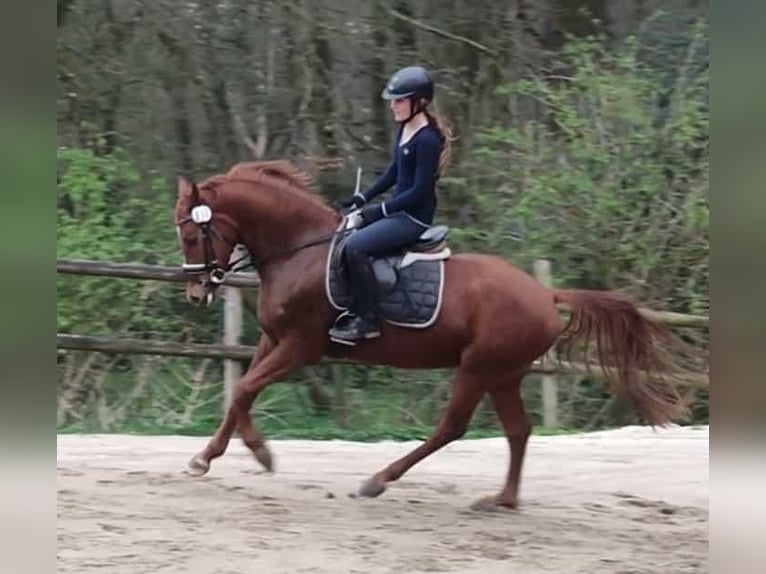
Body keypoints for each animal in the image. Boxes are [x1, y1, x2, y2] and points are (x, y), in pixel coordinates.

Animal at [174, 160, 688, 510]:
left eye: (194, 236)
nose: (197, 293)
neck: (298, 250)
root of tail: (545, 293)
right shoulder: (272, 340)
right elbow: (240, 394)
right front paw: (209, 457)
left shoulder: (301, 347)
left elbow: (244, 388)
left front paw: (260, 454)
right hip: (504, 374)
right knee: (518, 431)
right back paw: (501, 500)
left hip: (478, 368)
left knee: (452, 428)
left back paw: (379, 480)